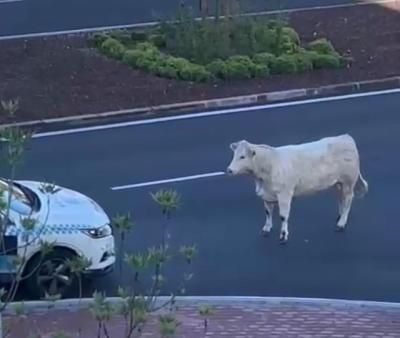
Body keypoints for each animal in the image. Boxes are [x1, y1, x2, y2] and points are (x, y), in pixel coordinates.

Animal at [227, 135, 370, 243]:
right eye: (234, 155)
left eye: (242, 156)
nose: (229, 170)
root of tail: (346, 137)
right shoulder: (266, 195)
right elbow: (268, 213)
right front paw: (266, 229)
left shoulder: (284, 194)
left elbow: (283, 216)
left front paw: (283, 235)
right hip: (338, 183)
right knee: (341, 198)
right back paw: (339, 217)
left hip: (348, 181)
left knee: (348, 200)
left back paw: (341, 224)